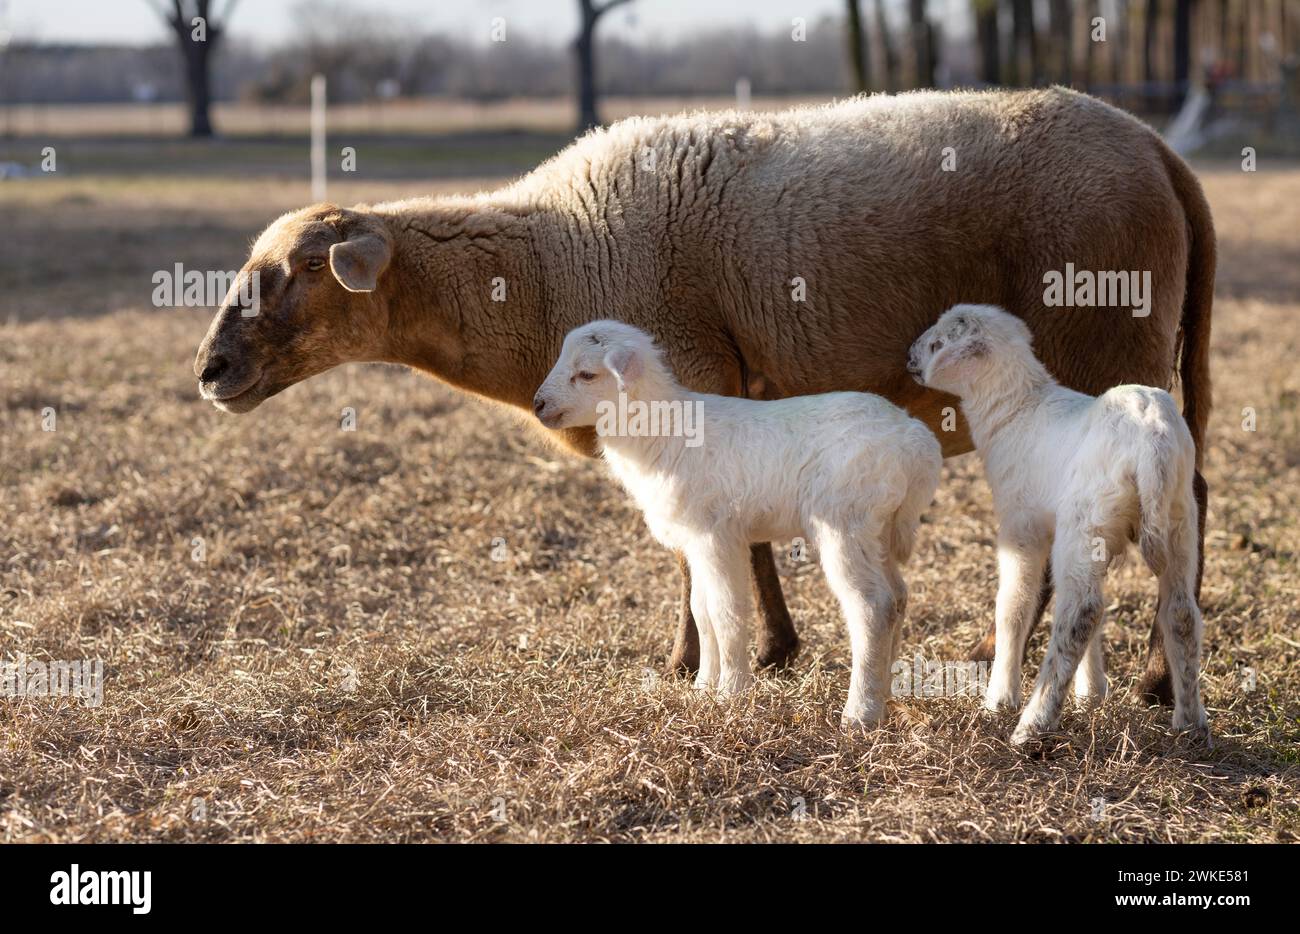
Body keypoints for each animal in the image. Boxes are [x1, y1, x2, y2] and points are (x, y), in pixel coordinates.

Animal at [533, 320, 941, 723]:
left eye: (587, 374)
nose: (539, 405)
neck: (661, 427)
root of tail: (915, 442)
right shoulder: (695, 539)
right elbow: (701, 610)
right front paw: (704, 689)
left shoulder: (716, 534)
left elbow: (725, 610)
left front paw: (731, 692)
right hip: (879, 527)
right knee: (897, 598)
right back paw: (885, 694)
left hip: (844, 522)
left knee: (871, 607)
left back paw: (859, 714)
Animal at [909, 306, 1201, 744]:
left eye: (938, 343)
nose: (909, 357)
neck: (1016, 408)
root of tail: (1155, 439)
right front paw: (1092, 694)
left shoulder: (1020, 523)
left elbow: (1013, 604)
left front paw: (999, 697)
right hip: (1176, 519)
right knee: (1178, 612)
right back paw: (1192, 723)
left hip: (1085, 518)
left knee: (1080, 612)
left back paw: (1033, 723)